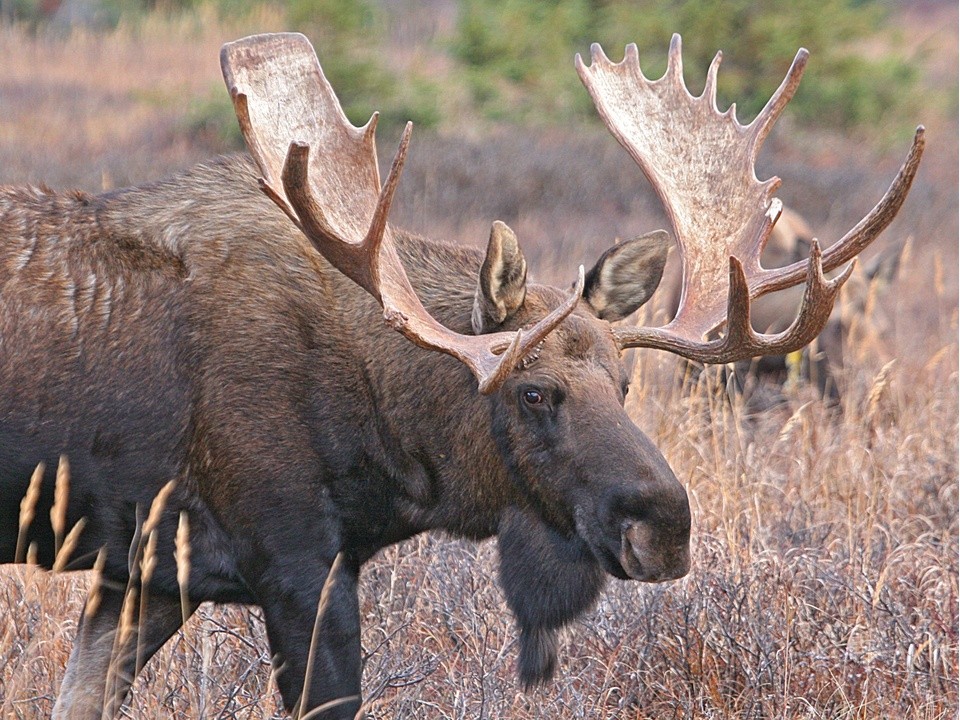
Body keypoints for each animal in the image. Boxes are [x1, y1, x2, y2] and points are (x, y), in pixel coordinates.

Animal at [0, 32, 924, 720]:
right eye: (534, 391)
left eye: (625, 386)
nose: (666, 525)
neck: (387, 447)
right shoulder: (295, 560)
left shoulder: (146, 572)